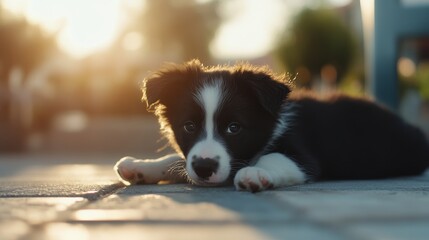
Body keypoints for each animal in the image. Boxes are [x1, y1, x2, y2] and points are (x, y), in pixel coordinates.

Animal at [114, 60, 428, 193]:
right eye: (189, 126)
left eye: (234, 128)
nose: (204, 168)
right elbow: (177, 160)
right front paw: (141, 166)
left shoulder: (303, 155)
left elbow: (274, 156)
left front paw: (255, 172)